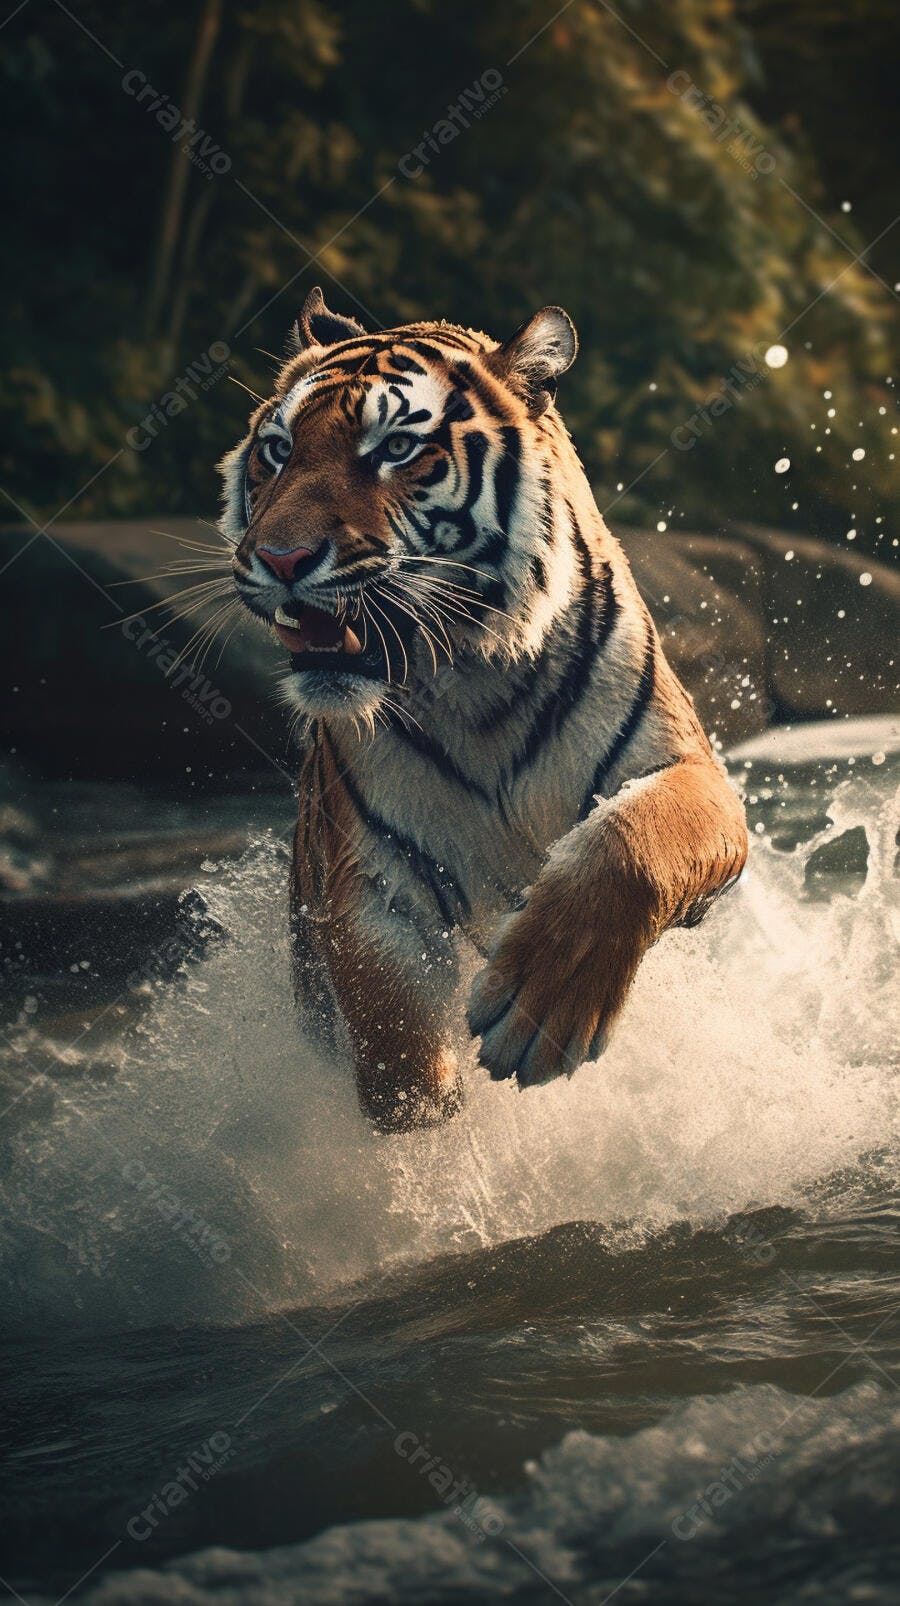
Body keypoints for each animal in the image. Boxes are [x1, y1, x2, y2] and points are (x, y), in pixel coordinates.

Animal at [221, 285, 748, 1132]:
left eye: (396, 449)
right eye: (277, 451)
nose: (280, 559)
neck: (475, 685)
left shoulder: (689, 772)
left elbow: (628, 846)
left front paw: (540, 1010)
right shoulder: (369, 872)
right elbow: (391, 1027)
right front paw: (427, 1111)